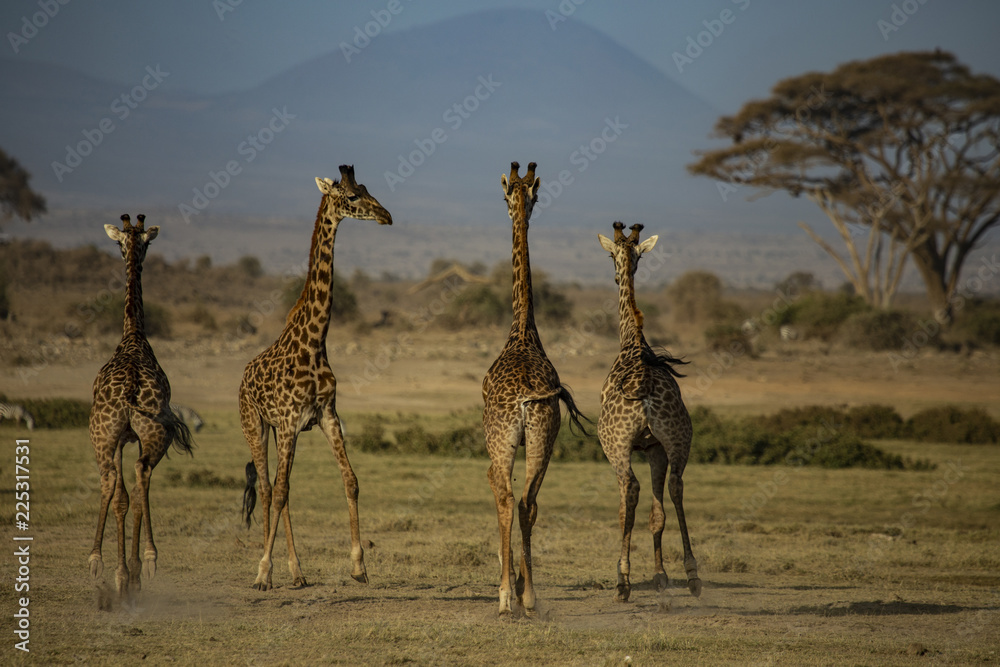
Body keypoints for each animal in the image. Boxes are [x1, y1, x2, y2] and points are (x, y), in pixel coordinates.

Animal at [88, 214, 194, 601]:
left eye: (140, 244)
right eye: (127, 244)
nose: (135, 253)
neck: (133, 335)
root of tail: (132, 388)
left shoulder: (121, 438)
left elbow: (122, 498)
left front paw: (125, 571)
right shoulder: (125, 438)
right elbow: (125, 499)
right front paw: (126, 572)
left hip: (108, 436)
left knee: (119, 480)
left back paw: (114, 562)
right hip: (140, 436)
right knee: (134, 479)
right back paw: (133, 565)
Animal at [239, 165, 391, 591]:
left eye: (367, 188)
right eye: (352, 196)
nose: (386, 216)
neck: (315, 341)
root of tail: (243, 376)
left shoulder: (326, 415)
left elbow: (350, 480)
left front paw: (358, 566)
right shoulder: (291, 421)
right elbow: (278, 492)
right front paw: (262, 572)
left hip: (278, 431)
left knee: (281, 490)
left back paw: (297, 572)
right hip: (256, 425)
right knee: (269, 488)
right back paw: (271, 570)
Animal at [597, 222, 701, 602]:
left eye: (611, 256)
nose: (616, 275)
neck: (633, 342)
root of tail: (643, 390)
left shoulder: (628, 447)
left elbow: (625, 507)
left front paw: (631, 576)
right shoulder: (655, 447)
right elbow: (658, 514)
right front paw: (660, 575)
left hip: (615, 445)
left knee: (629, 492)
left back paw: (622, 581)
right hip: (678, 439)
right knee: (676, 487)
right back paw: (693, 575)